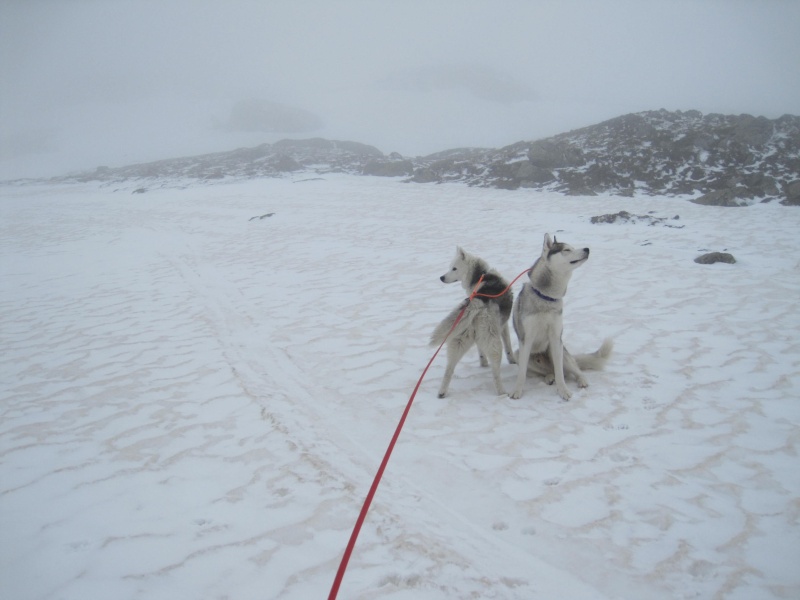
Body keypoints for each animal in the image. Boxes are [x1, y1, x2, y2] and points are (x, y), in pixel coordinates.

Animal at [434, 247, 516, 398]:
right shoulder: (503, 326)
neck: (480, 276)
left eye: (454, 268)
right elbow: (508, 346)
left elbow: (480, 349)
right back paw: (501, 392)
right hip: (493, 341)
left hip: (460, 340)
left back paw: (442, 392)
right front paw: (512, 361)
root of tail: (477, 302)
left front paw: (483, 363)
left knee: (449, 369)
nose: (441, 277)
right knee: (496, 372)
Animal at [510, 232, 616, 400]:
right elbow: (521, 374)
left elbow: (560, 372)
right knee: (546, 371)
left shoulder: (556, 337)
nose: (587, 249)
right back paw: (549, 377)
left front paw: (564, 391)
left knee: (572, 370)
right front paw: (517, 391)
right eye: (566, 250)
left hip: (561, 353)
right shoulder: (526, 339)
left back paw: (581, 380)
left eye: (572, 247)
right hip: (518, 354)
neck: (546, 297)